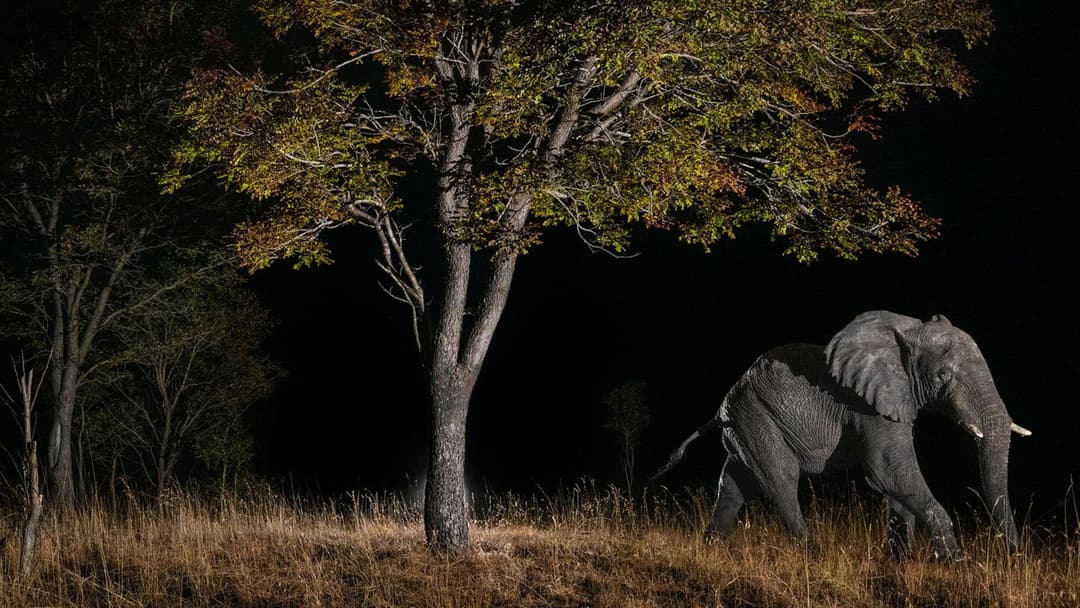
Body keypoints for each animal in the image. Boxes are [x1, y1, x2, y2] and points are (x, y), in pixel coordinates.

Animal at [652, 310, 1032, 559]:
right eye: (942, 376)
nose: (1012, 557)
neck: (907, 332)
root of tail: (720, 411)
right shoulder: (867, 406)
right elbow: (888, 472)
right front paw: (955, 562)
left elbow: (895, 483)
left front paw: (900, 563)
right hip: (757, 417)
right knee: (780, 481)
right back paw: (812, 554)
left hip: (744, 425)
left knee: (732, 485)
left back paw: (711, 550)